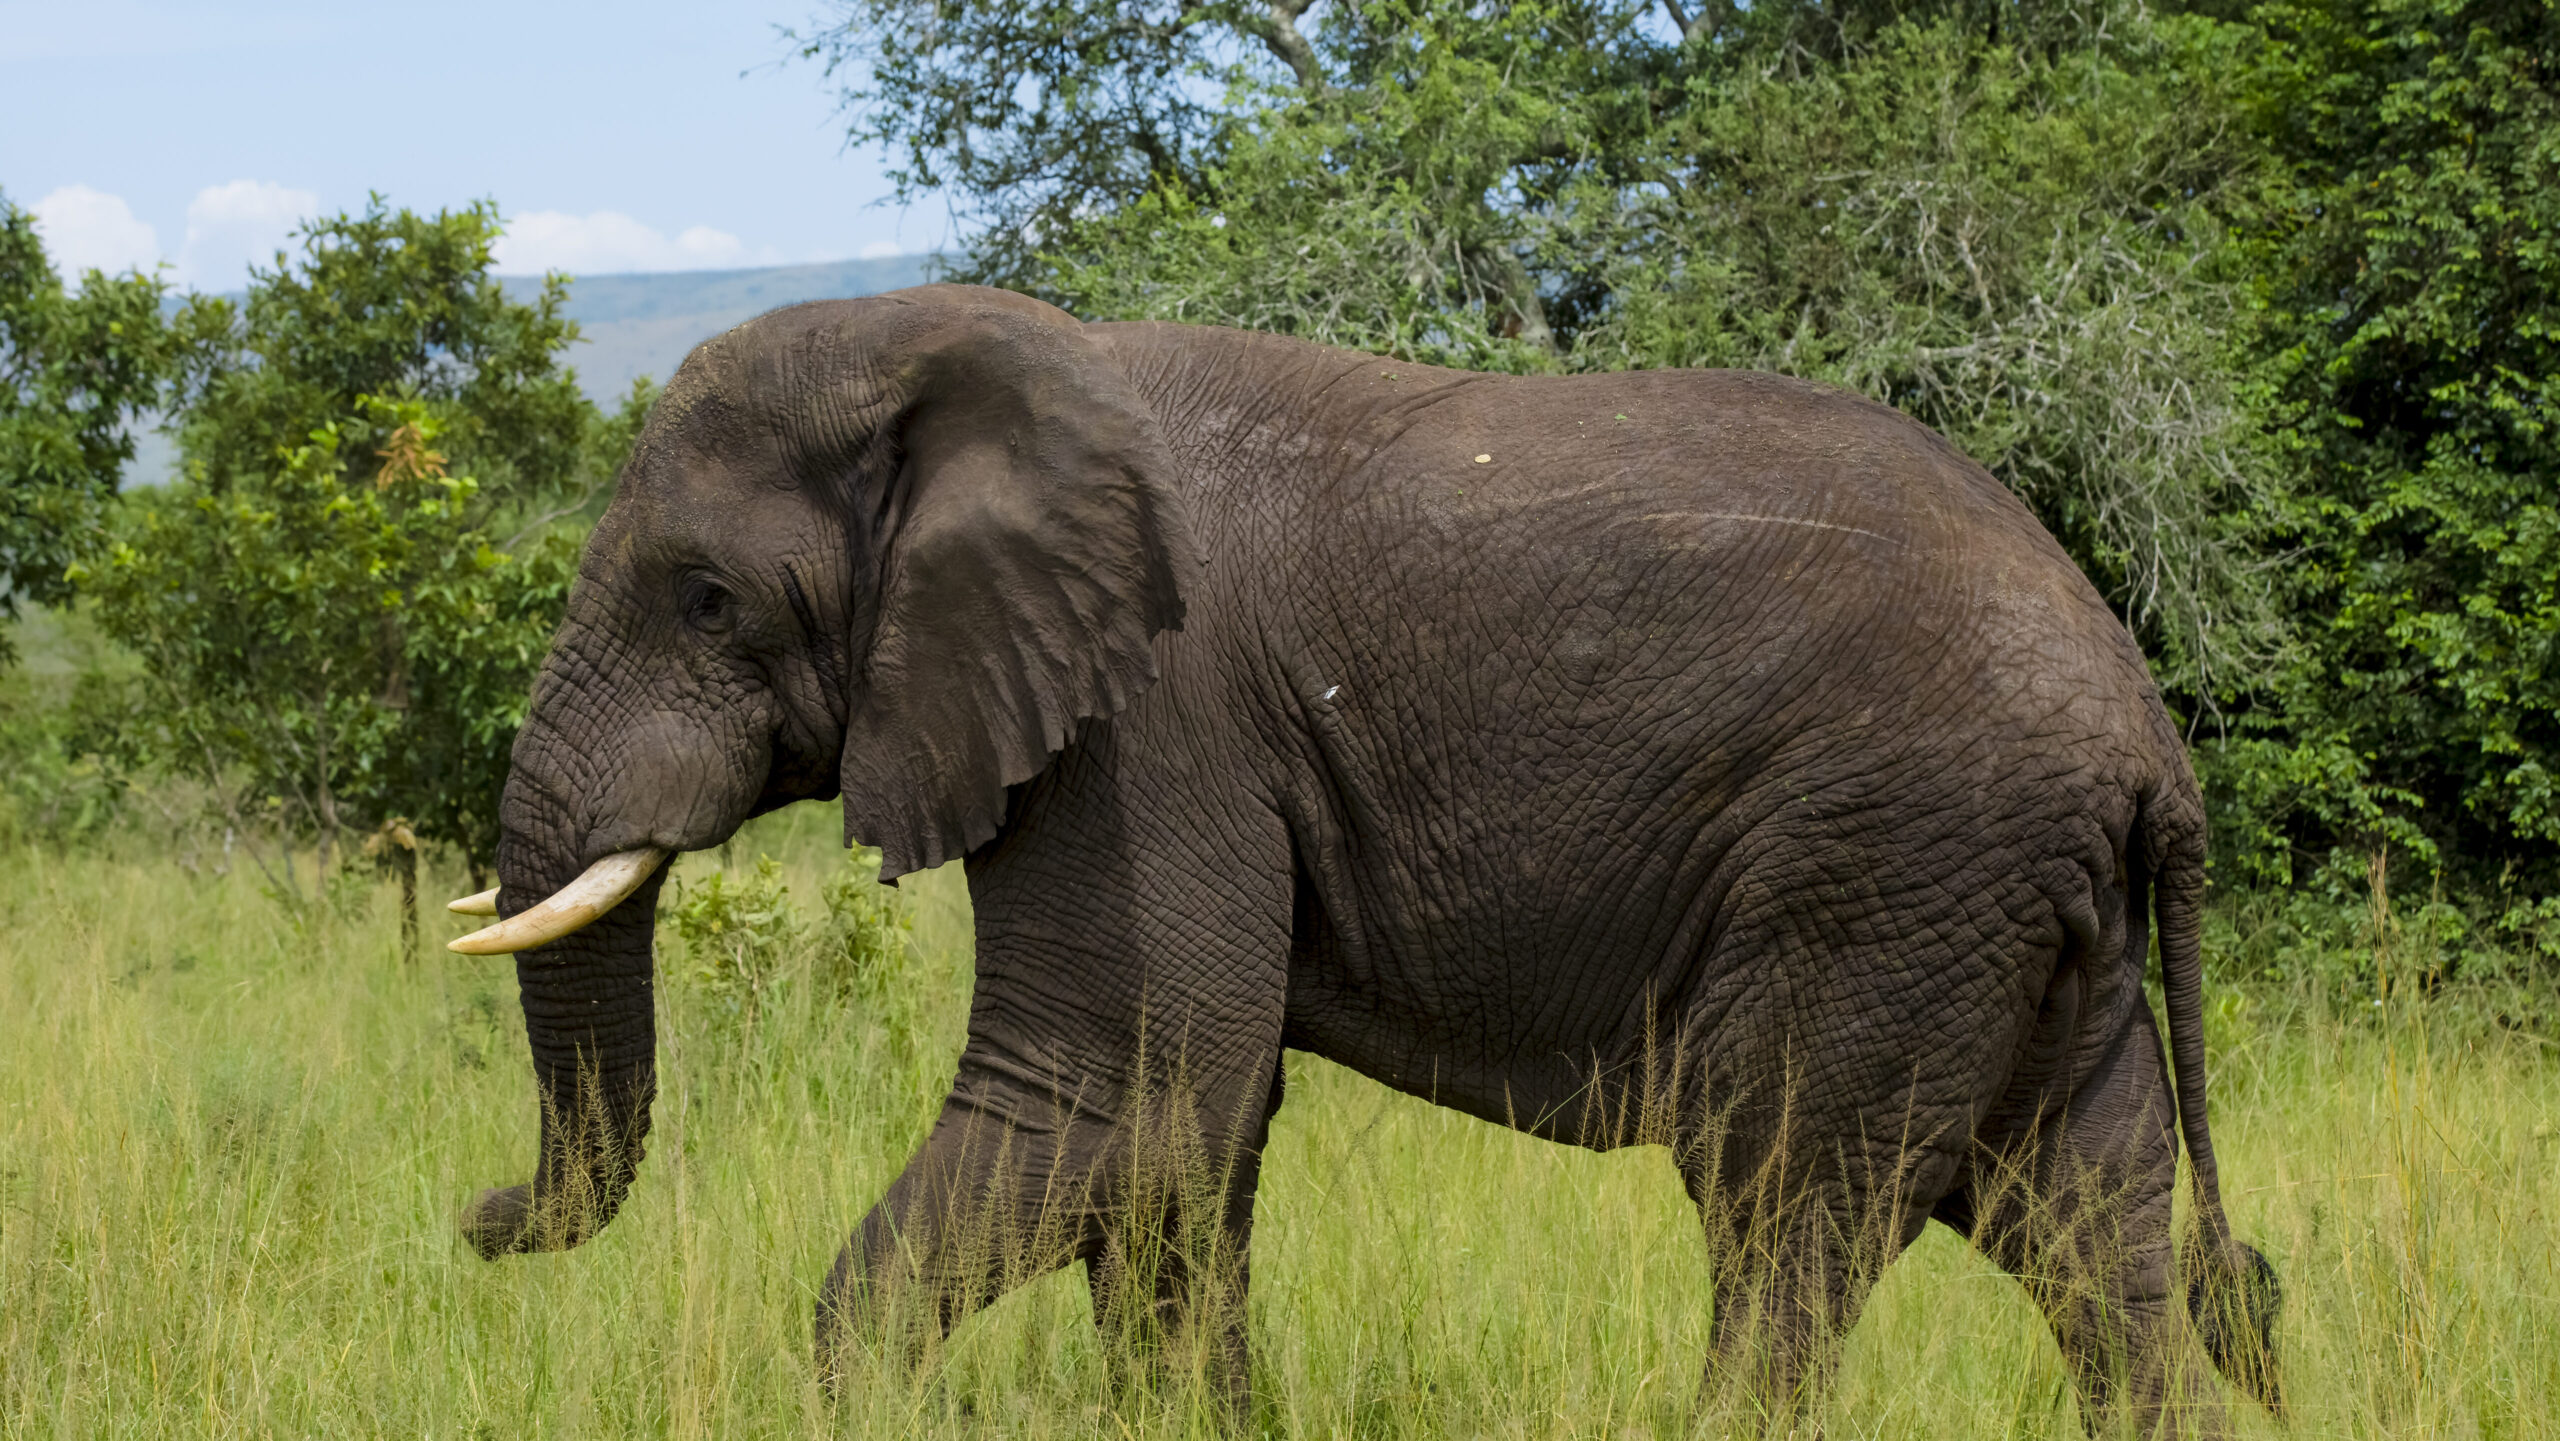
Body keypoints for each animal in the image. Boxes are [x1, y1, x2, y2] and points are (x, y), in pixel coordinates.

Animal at [445, 285, 2283, 1433]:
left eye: (703, 599)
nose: (471, 1217)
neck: (978, 348)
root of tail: (2151, 736)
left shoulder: (1153, 725)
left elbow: (1110, 1106)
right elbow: (1194, 1146)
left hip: (1892, 865)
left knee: (1781, 1215)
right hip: (2018, 908)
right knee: (2090, 1230)